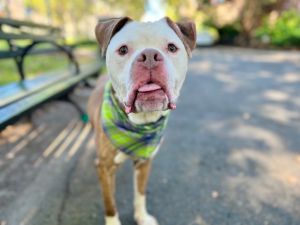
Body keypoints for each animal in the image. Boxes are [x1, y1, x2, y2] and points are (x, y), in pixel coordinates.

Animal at [87, 16, 197, 225]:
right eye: (123, 50)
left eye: (172, 47)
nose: (149, 56)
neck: (141, 123)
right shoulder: (105, 168)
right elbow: (110, 203)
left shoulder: (145, 162)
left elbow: (140, 193)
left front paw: (142, 217)